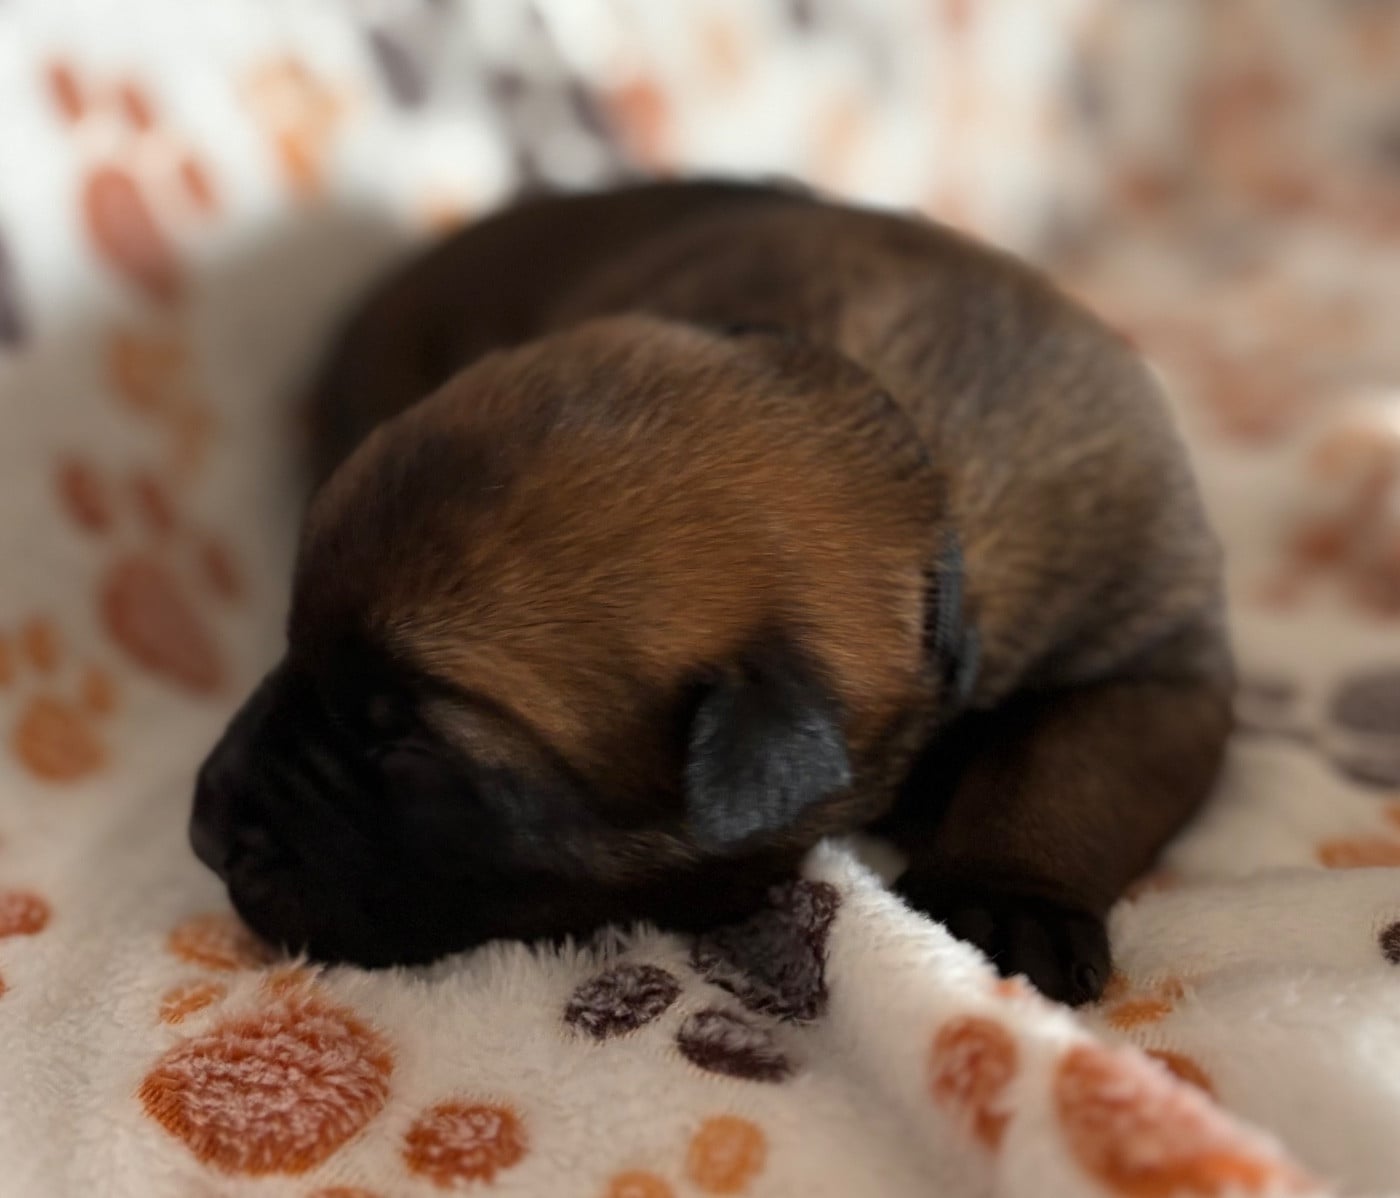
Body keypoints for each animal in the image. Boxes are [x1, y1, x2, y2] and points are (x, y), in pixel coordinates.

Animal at [190, 181, 1233, 1004]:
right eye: (290, 641)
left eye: (408, 747)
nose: (204, 831)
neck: (896, 458)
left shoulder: (1156, 660)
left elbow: (1067, 764)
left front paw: (1006, 903)